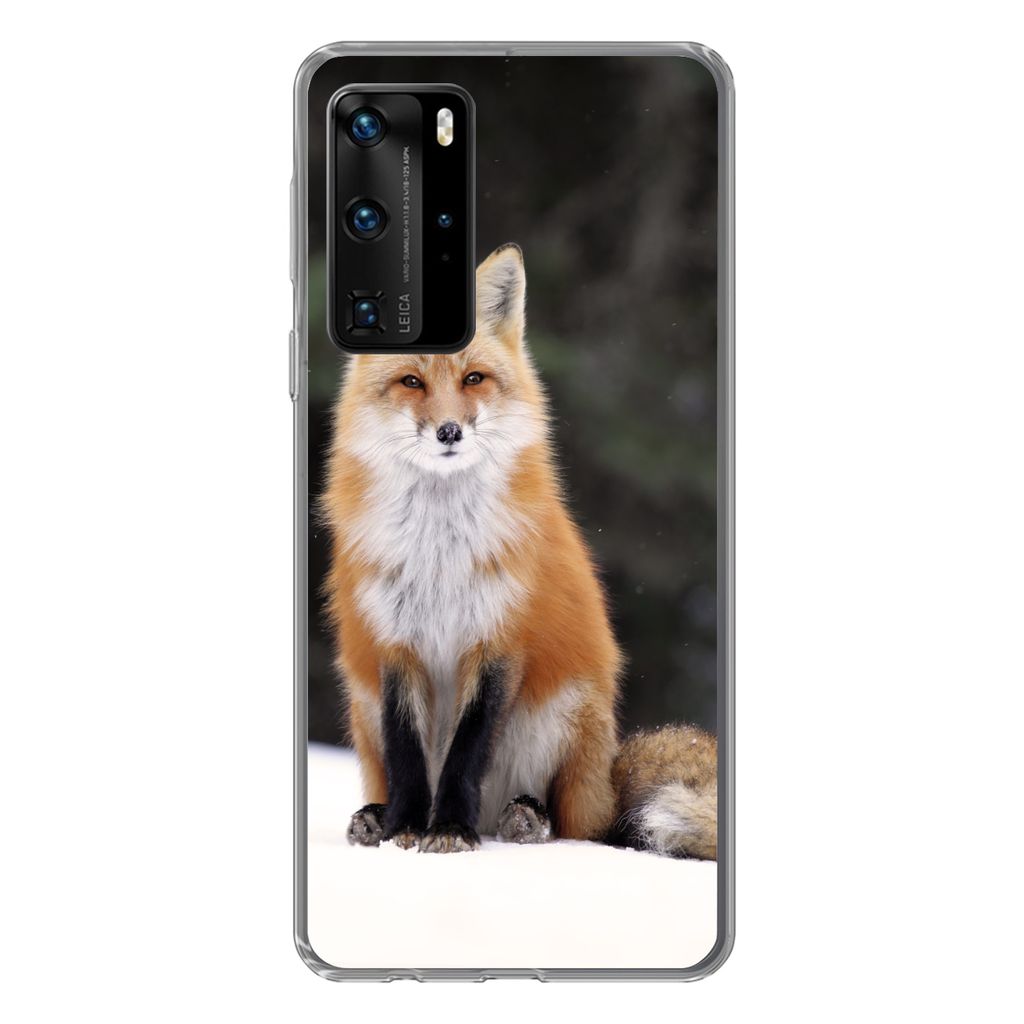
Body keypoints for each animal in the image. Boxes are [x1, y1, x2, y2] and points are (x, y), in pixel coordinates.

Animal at [321, 243, 717, 858]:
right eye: (412, 381)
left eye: (473, 378)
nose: (450, 431)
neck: (441, 555)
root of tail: (605, 781)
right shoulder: (394, 642)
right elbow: (408, 753)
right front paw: (405, 829)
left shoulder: (499, 638)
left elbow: (467, 752)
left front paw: (448, 829)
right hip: (362, 706)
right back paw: (373, 818)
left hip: (564, 713)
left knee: (576, 823)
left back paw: (526, 819)